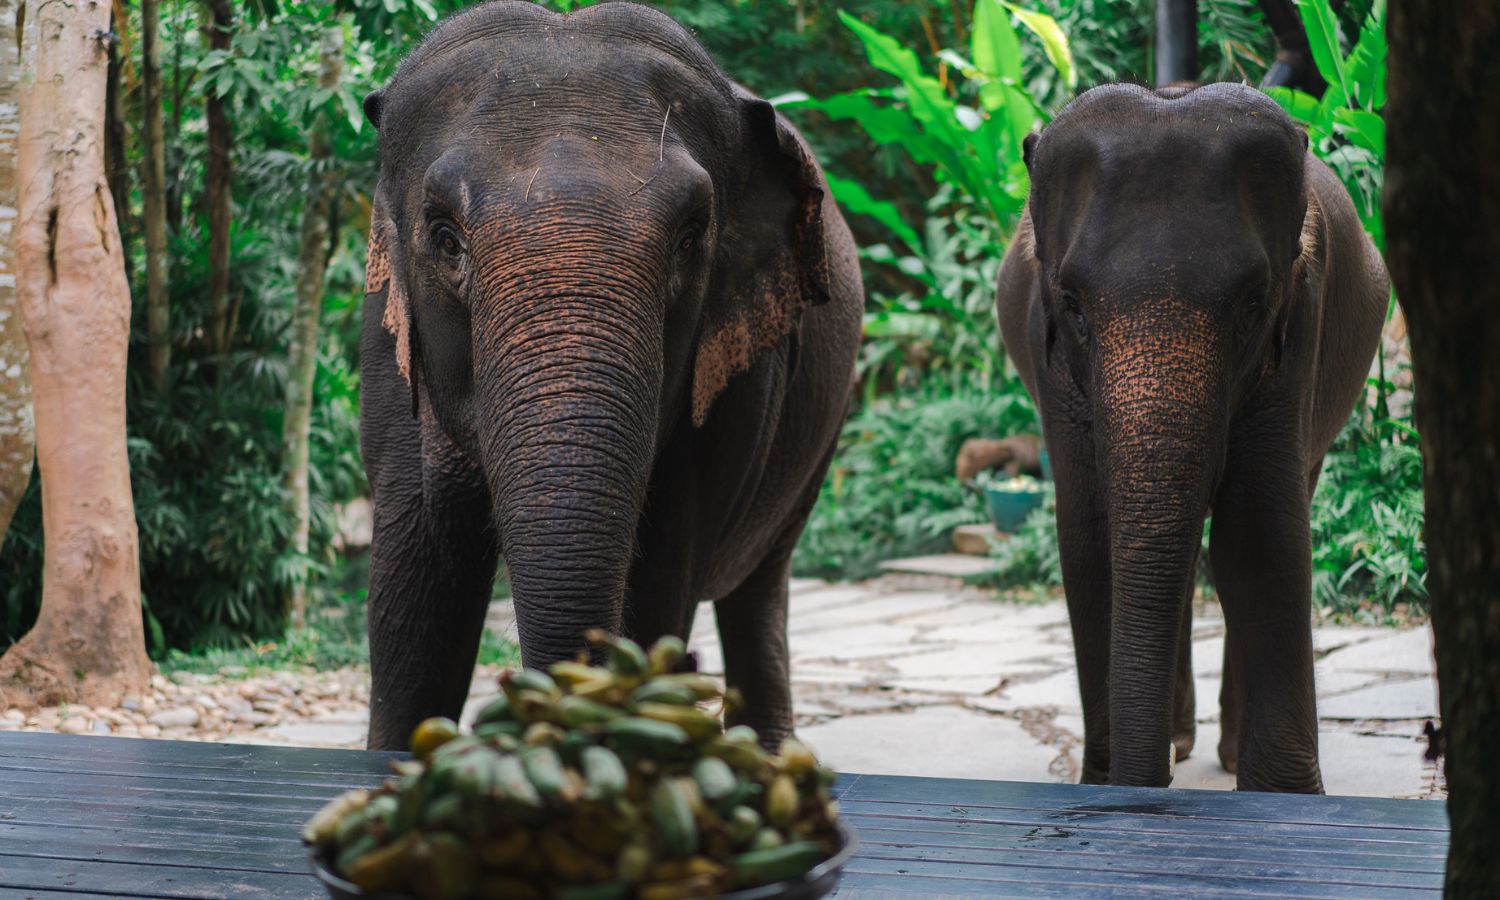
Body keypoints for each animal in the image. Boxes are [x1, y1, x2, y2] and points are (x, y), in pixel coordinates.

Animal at [355, 1, 864, 753]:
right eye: (445, 237)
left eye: (692, 237)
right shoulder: (386, 347)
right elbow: (416, 608)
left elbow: (659, 582)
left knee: (759, 585)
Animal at [996, 81, 1380, 792]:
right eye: (1072, 305)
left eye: (1254, 305)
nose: (1142, 789)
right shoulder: (1048, 354)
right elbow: (1090, 537)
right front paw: (1105, 786)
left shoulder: (1300, 326)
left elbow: (1259, 531)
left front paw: (1284, 798)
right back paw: (1178, 743)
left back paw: (1220, 755)